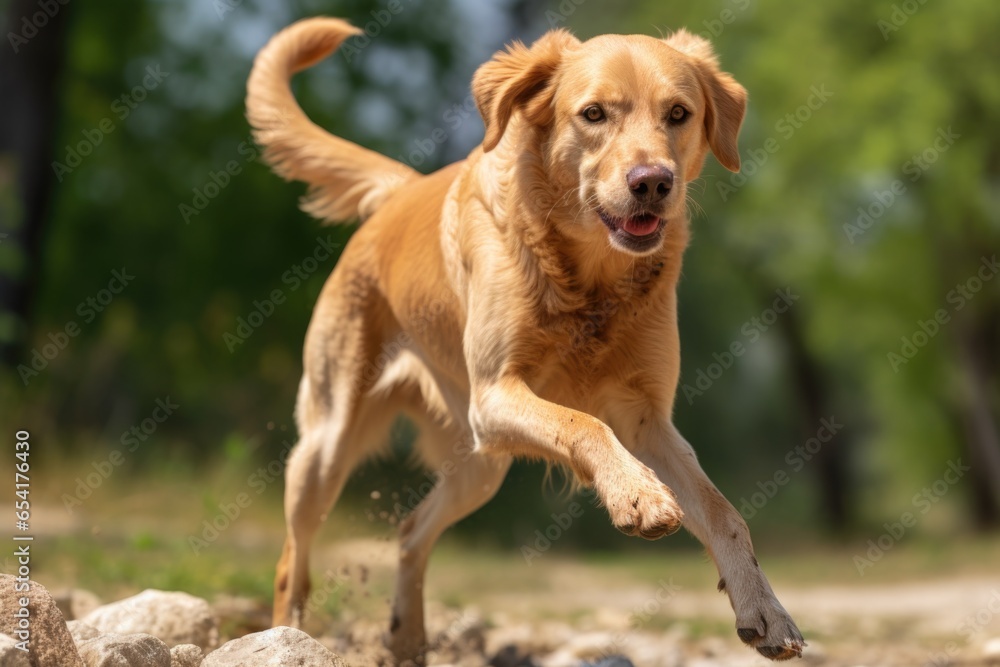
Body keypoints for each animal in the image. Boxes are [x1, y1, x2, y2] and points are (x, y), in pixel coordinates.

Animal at [248, 15, 804, 664]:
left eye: (678, 113)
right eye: (593, 114)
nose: (653, 182)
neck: (589, 278)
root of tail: (400, 193)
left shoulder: (647, 419)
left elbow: (723, 511)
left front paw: (765, 610)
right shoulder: (498, 393)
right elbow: (586, 425)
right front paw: (636, 495)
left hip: (480, 465)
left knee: (411, 532)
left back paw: (407, 638)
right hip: (330, 443)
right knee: (292, 563)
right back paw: (288, 637)